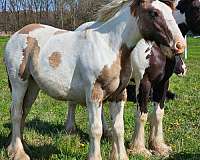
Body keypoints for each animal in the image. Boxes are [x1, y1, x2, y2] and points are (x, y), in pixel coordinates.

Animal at [4, 0, 185, 159]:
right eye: (154, 13)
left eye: (171, 12)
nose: (180, 45)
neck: (110, 46)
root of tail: (17, 34)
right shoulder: (94, 95)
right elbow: (96, 129)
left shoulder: (119, 95)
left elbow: (118, 128)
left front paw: (121, 156)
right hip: (19, 83)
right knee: (16, 113)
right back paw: (18, 153)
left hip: (33, 86)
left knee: (24, 111)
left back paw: (21, 147)